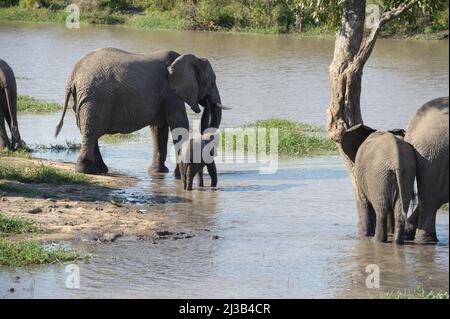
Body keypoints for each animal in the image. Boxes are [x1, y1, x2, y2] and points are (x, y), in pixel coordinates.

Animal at [54, 47, 227, 175]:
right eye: (212, 83)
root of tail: (73, 76)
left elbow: (159, 128)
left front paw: (159, 173)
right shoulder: (171, 92)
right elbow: (178, 124)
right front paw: (178, 175)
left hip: (81, 100)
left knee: (88, 130)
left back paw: (100, 170)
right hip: (94, 98)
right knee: (91, 131)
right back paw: (87, 171)